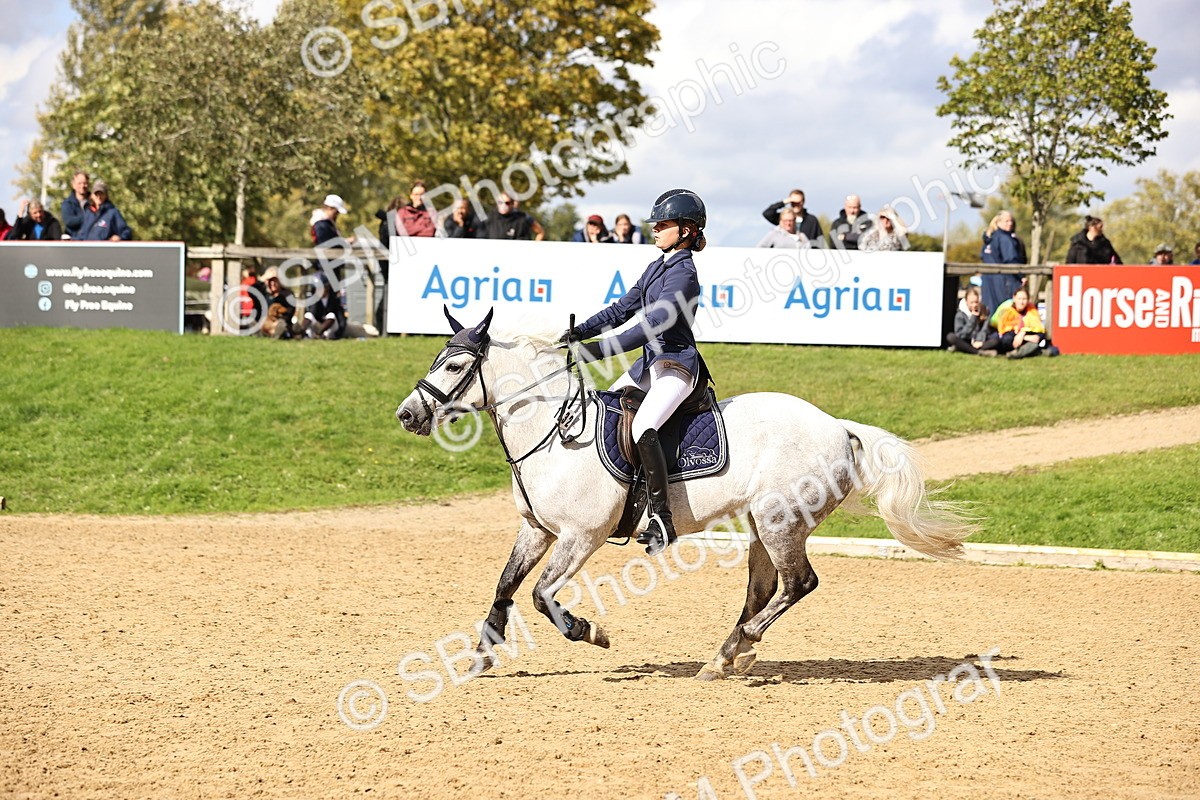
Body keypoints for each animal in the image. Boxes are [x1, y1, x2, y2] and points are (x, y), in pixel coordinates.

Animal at [396, 308, 974, 681]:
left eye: (454, 365)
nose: (406, 414)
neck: (553, 430)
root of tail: (836, 425)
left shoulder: (581, 536)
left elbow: (542, 596)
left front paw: (591, 632)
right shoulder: (536, 530)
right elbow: (505, 587)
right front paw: (480, 658)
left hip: (780, 520)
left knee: (799, 583)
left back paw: (736, 649)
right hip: (764, 524)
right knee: (765, 588)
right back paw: (728, 656)